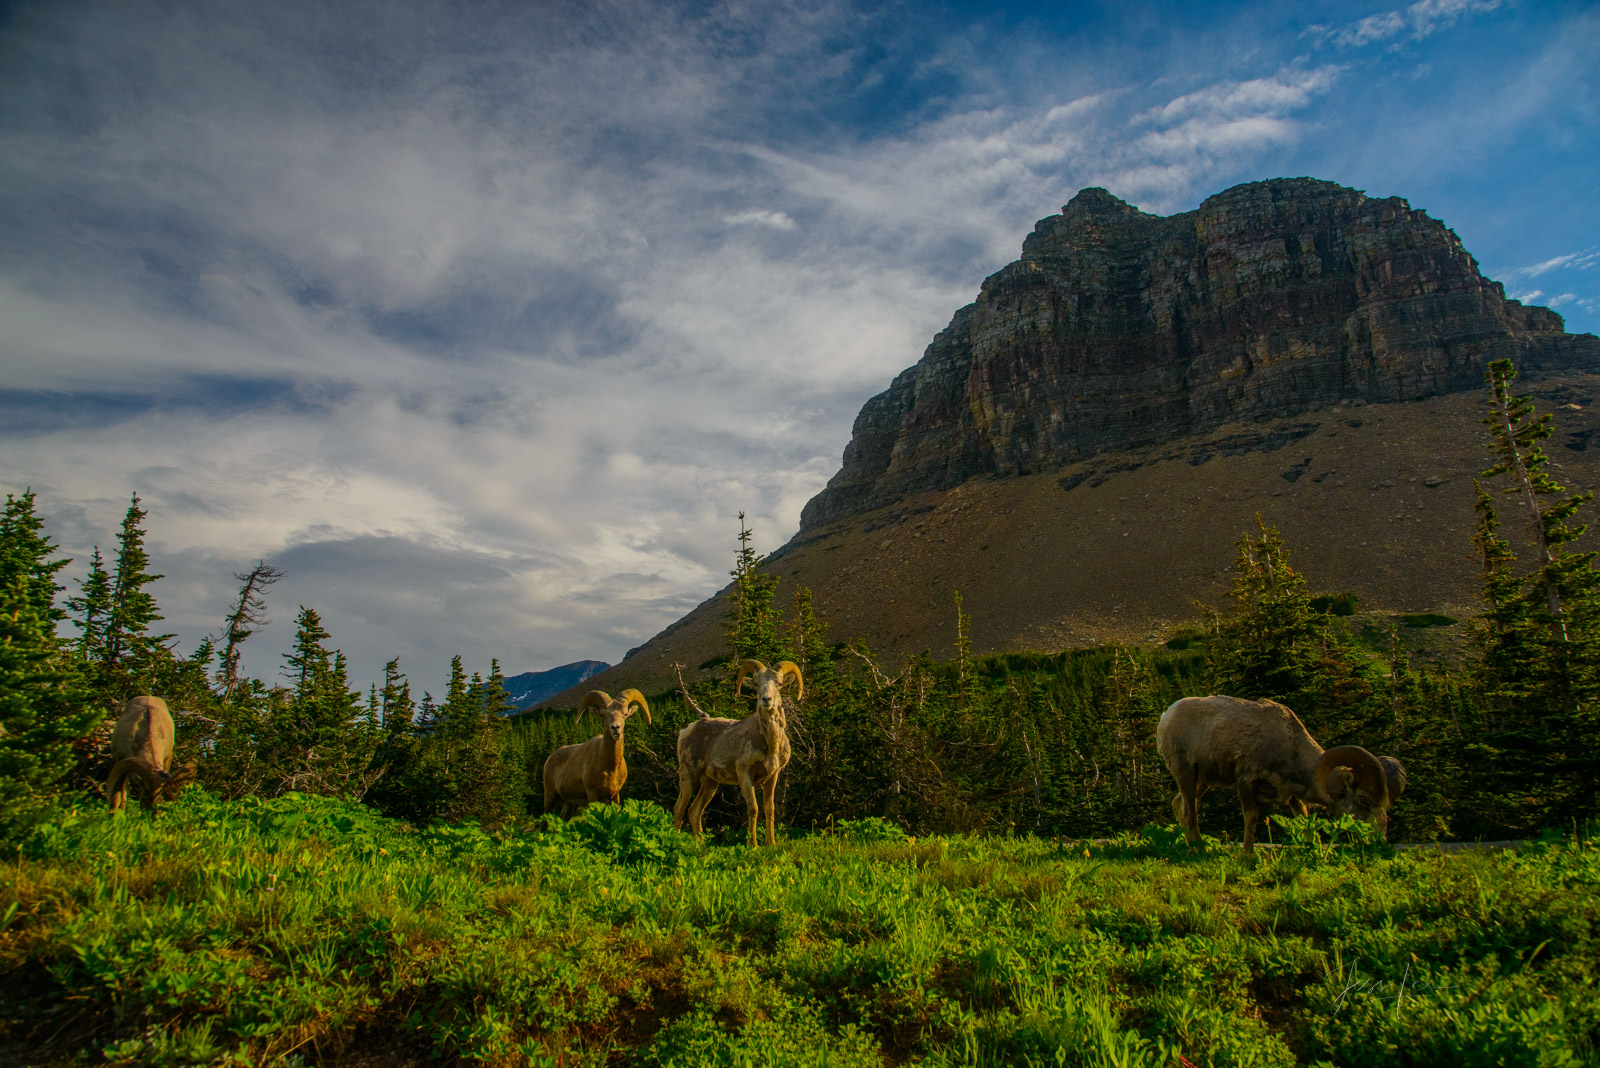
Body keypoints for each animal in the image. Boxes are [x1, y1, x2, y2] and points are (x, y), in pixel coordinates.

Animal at [672, 655, 800, 844]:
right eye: (755, 683)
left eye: (779, 683)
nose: (766, 699)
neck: (771, 744)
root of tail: (684, 731)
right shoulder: (745, 774)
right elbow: (753, 808)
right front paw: (752, 844)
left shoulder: (772, 776)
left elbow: (769, 809)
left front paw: (770, 843)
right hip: (689, 775)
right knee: (679, 809)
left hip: (710, 784)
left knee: (694, 811)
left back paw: (700, 843)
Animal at [1158, 697, 1408, 856]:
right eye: (1363, 801)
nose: (1380, 841)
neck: (1289, 744)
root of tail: (1167, 716)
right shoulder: (1245, 780)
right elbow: (1251, 816)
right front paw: (1247, 855)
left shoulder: (1293, 797)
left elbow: (1305, 821)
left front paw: (1311, 849)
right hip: (1186, 773)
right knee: (1190, 812)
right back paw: (1200, 850)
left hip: (1203, 782)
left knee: (1179, 805)